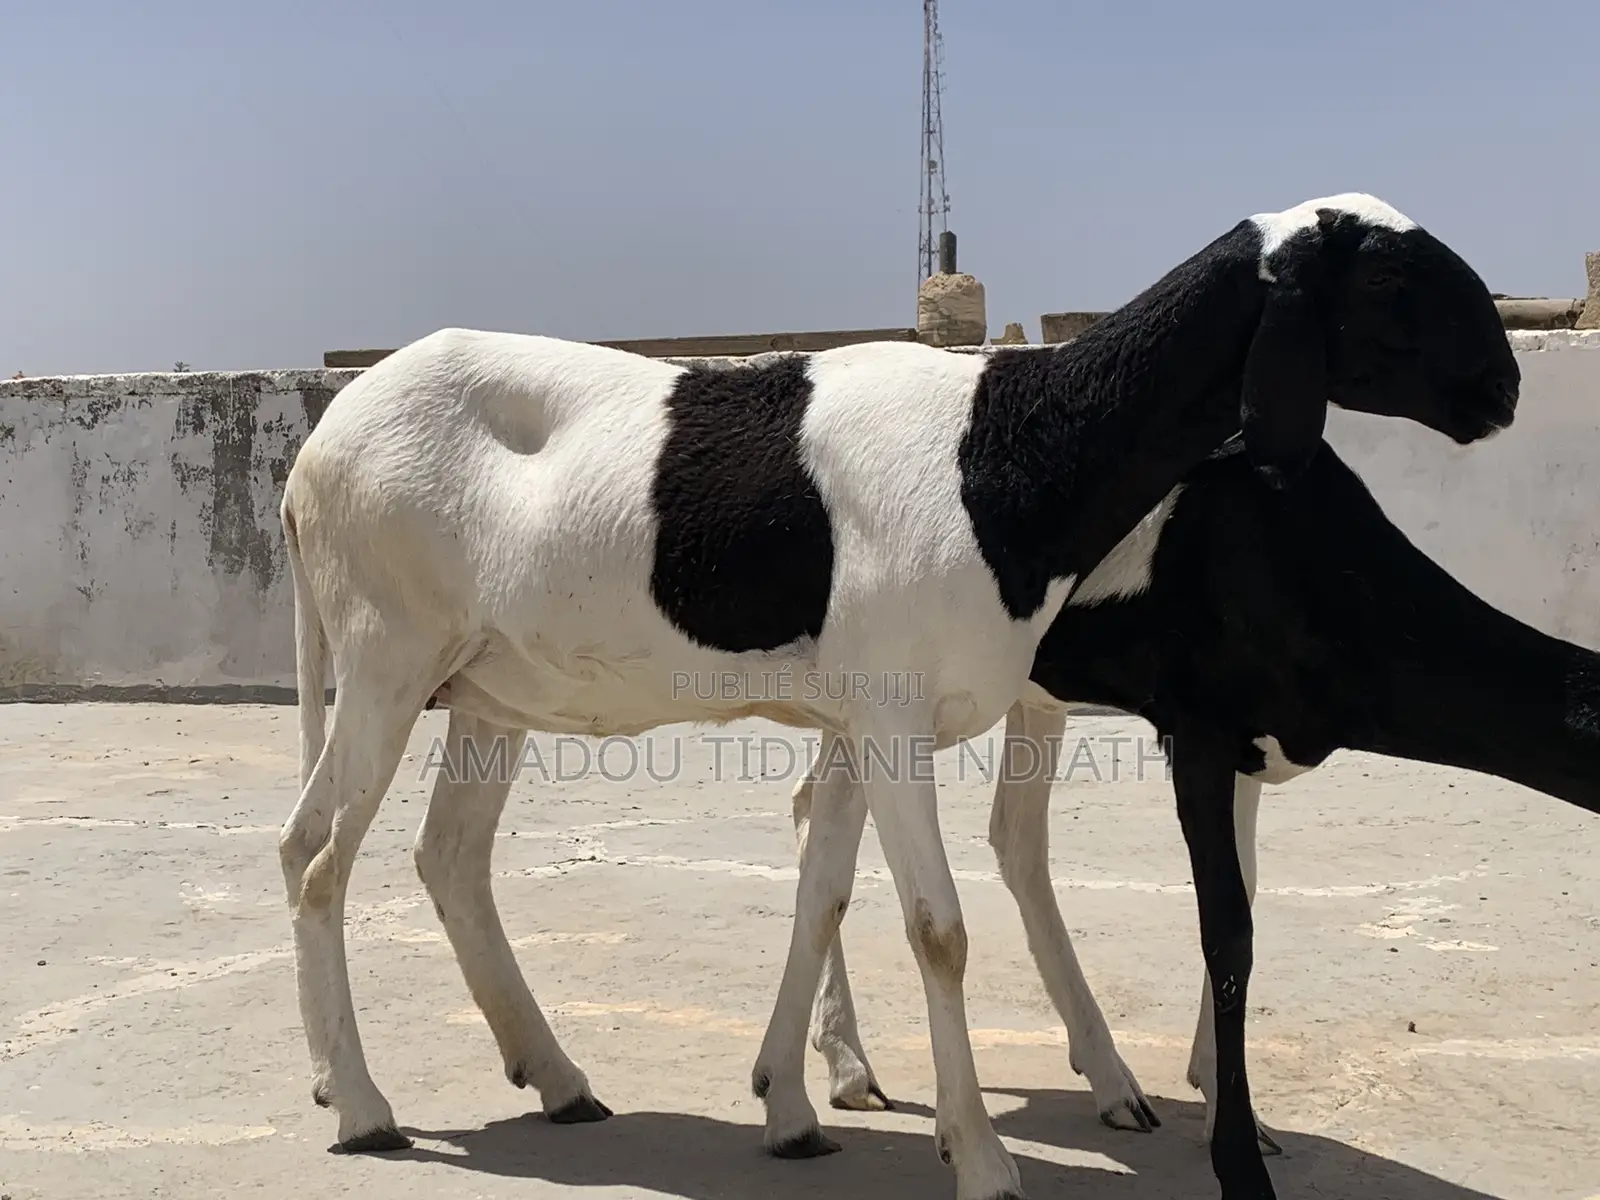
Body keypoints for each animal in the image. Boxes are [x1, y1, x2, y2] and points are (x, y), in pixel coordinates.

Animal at [278, 191, 1516, 1200]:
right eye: (1389, 279)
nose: (1502, 389)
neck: (1004, 448)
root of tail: (310, 454)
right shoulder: (888, 718)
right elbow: (938, 930)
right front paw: (979, 1158)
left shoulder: (863, 721)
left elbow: (823, 895)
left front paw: (791, 1107)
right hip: (386, 656)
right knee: (319, 857)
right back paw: (365, 1107)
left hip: (486, 688)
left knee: (440, 855)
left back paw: (552, 1076)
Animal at [795, 434, 1600, 1200]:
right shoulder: (1198, 730)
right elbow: (1227, 931)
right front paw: (1237, 1160)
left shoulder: (1249, 747)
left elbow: (1244, 898)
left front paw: (1222, 1099)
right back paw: (850, 1071)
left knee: (974, 831)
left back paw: (1094, 1081)